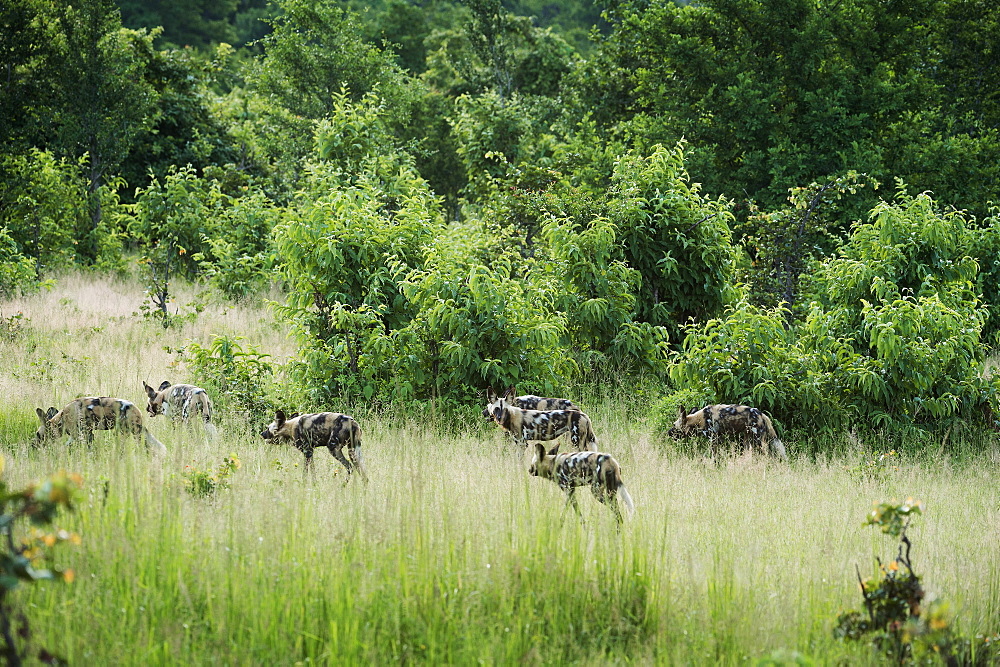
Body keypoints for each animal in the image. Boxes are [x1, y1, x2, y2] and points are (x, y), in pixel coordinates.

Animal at [34, 396, 168, 454]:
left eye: (38, 434)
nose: (32, 445)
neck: (61, 418)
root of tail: (136, 409)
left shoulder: (77, 435)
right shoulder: (87, 434)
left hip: (128, 433)